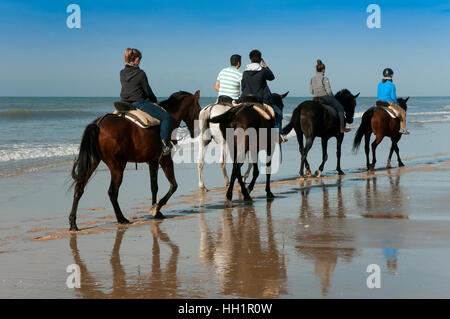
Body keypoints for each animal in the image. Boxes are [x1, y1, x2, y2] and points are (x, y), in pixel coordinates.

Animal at [68, 91, 200, 231]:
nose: (197, 132)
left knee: (79, 188)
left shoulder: (153, 161)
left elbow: (154, 187)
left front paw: (156, 211)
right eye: (198, 108)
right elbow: (173, 185)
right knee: (112, 192)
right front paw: (156, 208)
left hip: (93, 162)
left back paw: (73, 223)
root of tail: (99, 123)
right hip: (118, 166)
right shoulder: (165, 159)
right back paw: (121, 218)